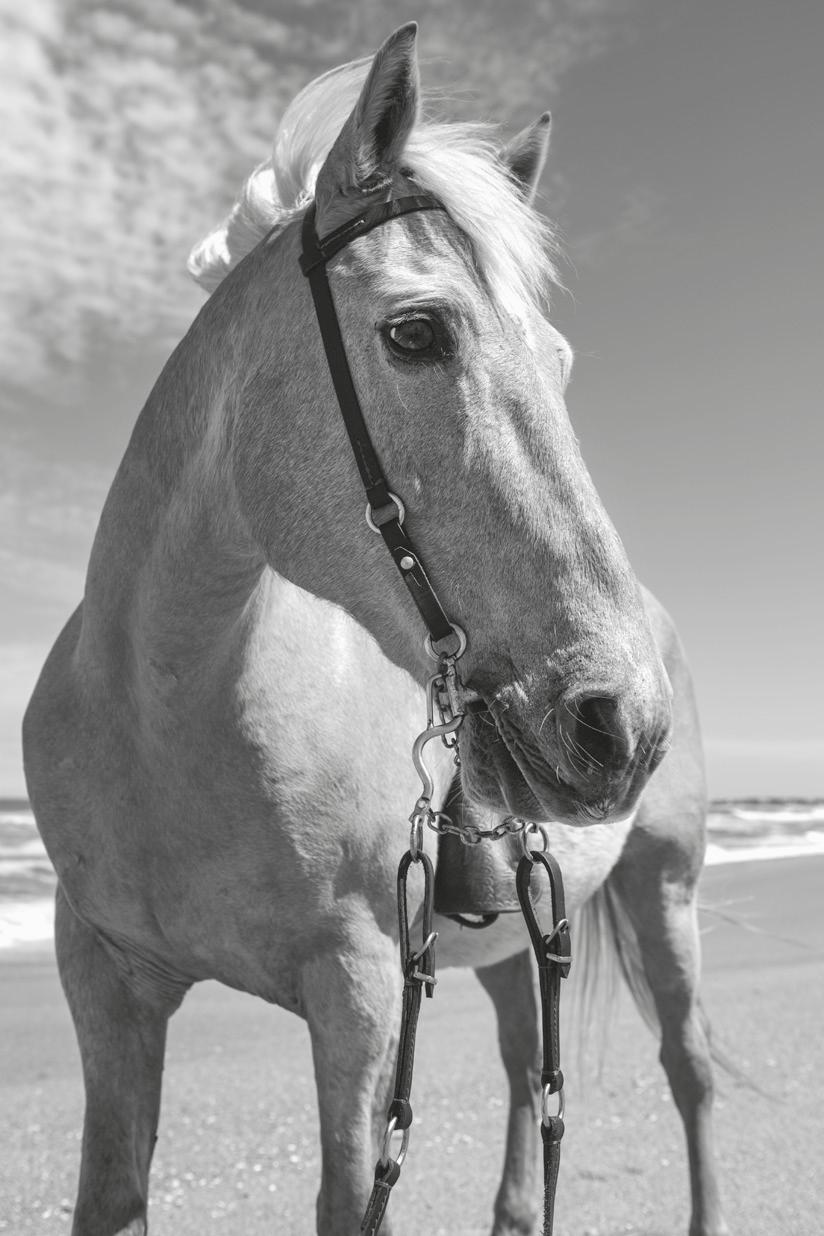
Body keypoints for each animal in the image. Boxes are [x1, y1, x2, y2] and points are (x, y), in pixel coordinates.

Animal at [23, 24, 728, 1236]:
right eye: (415, 331)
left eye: (561, 363)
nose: (620, 722)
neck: (162, 716)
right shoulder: (104, 985)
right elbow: (109, 1193)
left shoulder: (357, 998)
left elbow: (352, 1193)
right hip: (515, 940)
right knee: (522, 1067)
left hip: (663, 891)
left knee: (685, 1070)